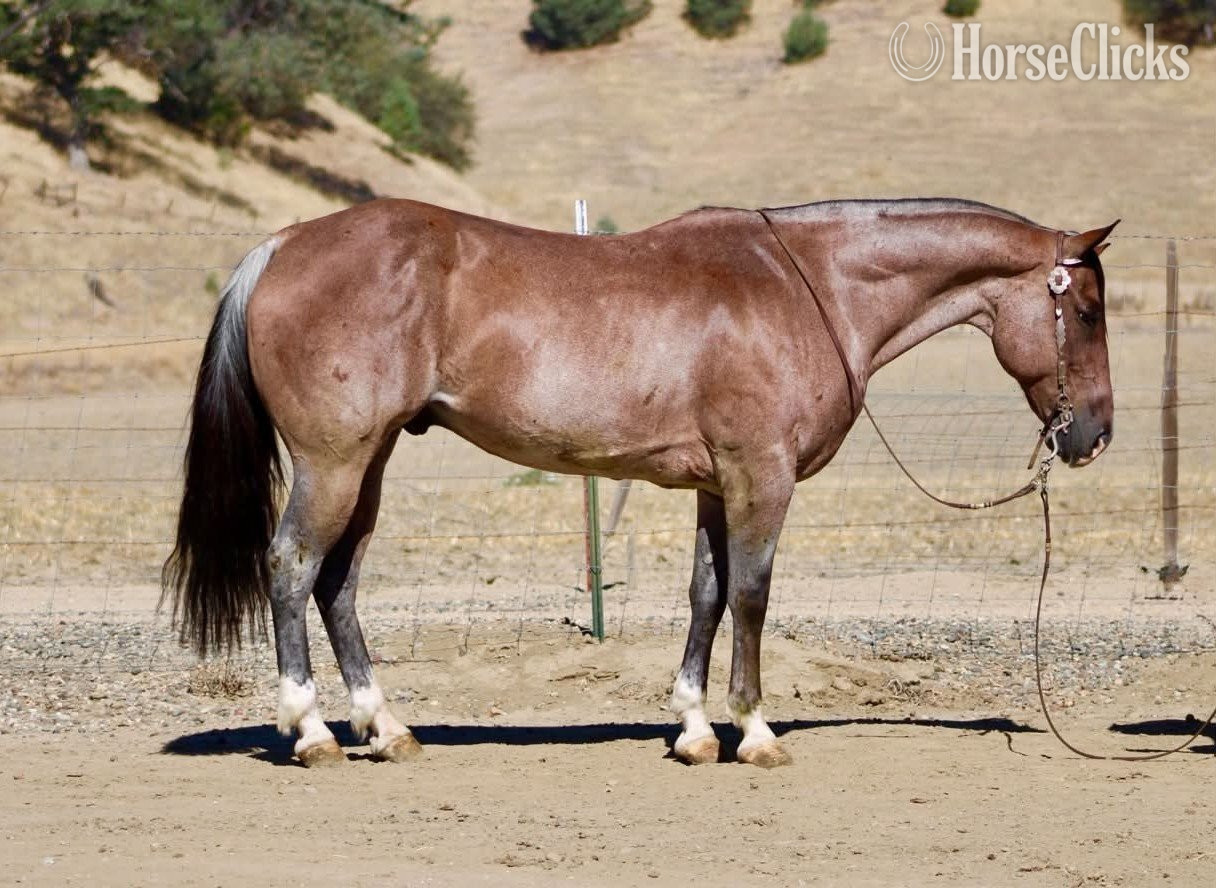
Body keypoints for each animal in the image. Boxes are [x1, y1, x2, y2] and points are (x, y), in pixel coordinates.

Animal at [163, 197, 1117, 768]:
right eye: (1089, 310)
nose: (1096, 434)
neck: (805, 286)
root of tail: (282, 245)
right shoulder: (762, 478)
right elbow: (753, 596)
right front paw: (755, 730)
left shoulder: (715, 485)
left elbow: (706, 594)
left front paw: (694, 729)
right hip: (336, 460)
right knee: (291, 568)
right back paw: (311, 730)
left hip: (372, 462)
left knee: (338, 583)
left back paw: (386, 728)